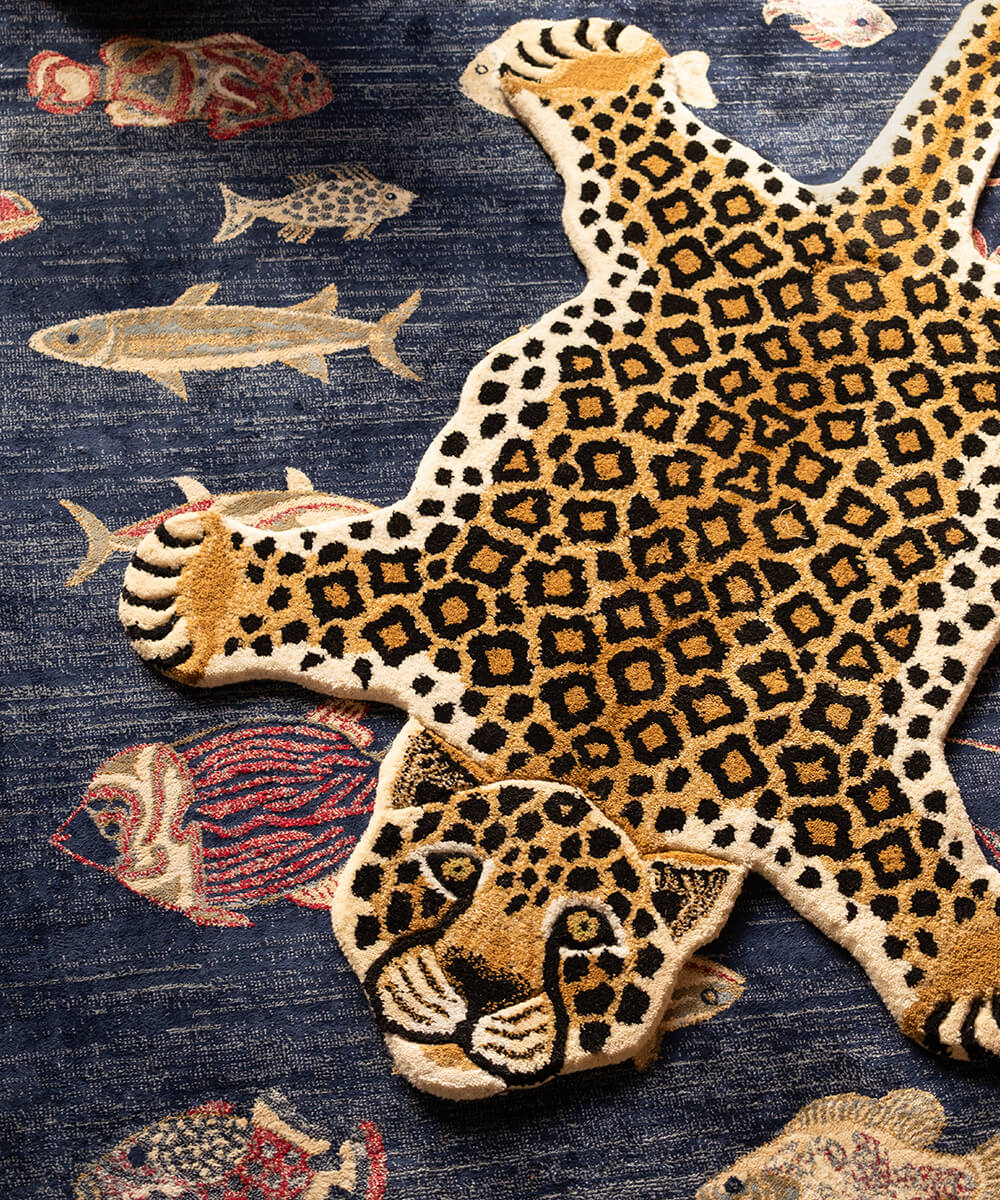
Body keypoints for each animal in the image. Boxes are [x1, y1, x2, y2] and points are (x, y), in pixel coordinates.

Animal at [118, 4, 1000, 1095]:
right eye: (454, 871)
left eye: (585, 935)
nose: (475, 992)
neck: (598, 747)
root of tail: (896, 233)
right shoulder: (436, 593)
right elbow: (333, 585)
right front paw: (198, 586)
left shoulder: (829, 776)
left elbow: (905, 868)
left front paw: (971, 969)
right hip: (699, 233)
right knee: (663, 161)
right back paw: (584, 65)